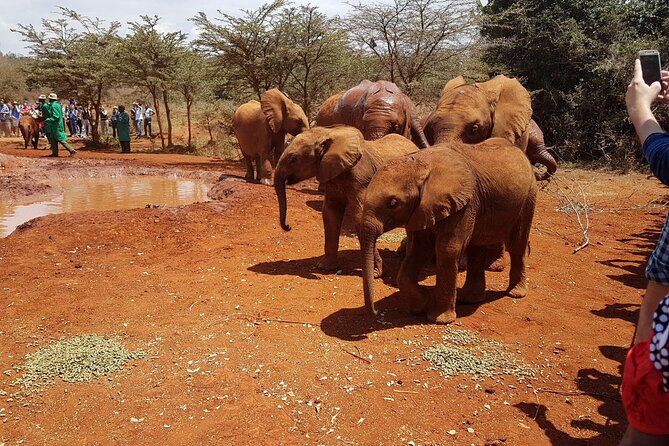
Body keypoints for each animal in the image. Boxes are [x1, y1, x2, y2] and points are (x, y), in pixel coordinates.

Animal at [274, 125, 419, 275]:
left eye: (294, 159)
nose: (288, 227)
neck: (329, 134)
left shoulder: (361, 180)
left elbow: (360, 217)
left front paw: (376, 273)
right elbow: (330, 214)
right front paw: (325, 268)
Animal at [360, 139, 537, 324]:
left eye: (393, 203)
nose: (374, 312)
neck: (421, 165)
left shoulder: (464, 204)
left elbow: (447, 250)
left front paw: (439, 319)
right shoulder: (422, 208)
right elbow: (418, 249)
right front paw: (422, 305)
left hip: (528, 198)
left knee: (517, 245)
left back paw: (515, 293)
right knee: (477, 249)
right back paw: (468, 299)